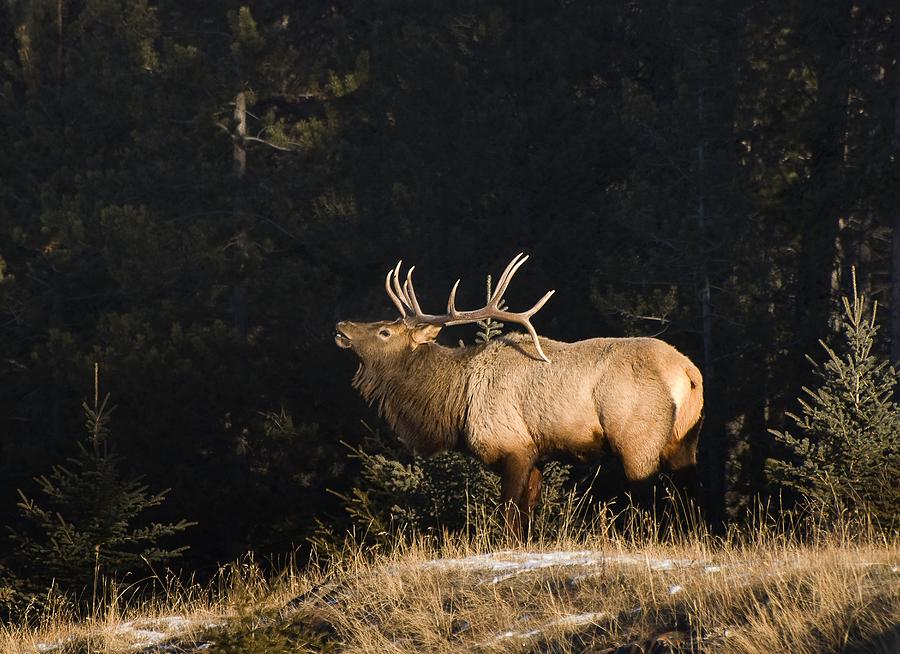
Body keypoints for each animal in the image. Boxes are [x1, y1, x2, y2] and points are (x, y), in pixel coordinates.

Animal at [336, 255, 704, 540]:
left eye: (384, 331)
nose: (341, 325)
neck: (455, 404)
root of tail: (688, 373)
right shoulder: (537, 453)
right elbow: (527, 520)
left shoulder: (513, 446)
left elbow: (511, 519)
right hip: (685, 438)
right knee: (688, 496)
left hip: (637, 439)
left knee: (651, 496)